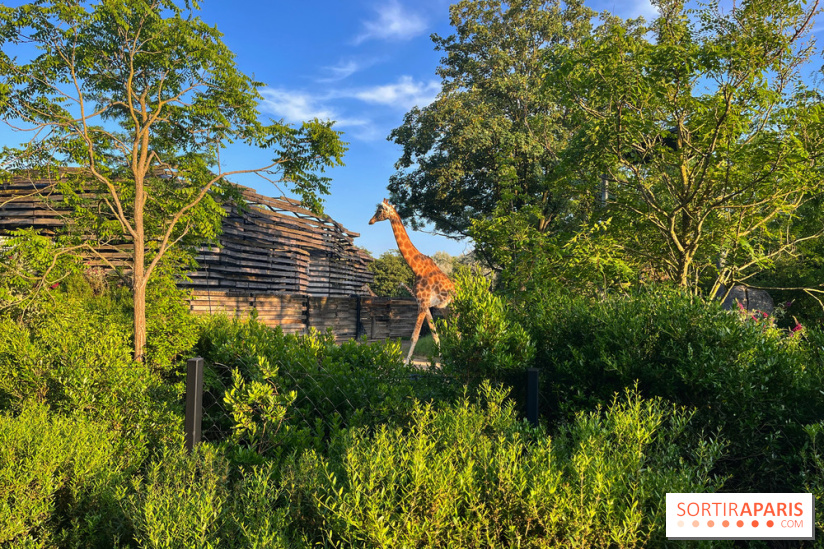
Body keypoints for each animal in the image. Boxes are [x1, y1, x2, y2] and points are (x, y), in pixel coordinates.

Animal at [370, 198, 454, 364]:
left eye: (379, 210)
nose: (370, 221)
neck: (416, 268)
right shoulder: (424, 304)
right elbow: (435, 335)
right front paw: (442, 359)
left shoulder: (423, 303)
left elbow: (414, 336)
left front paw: (405, 363)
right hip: (445, 308)